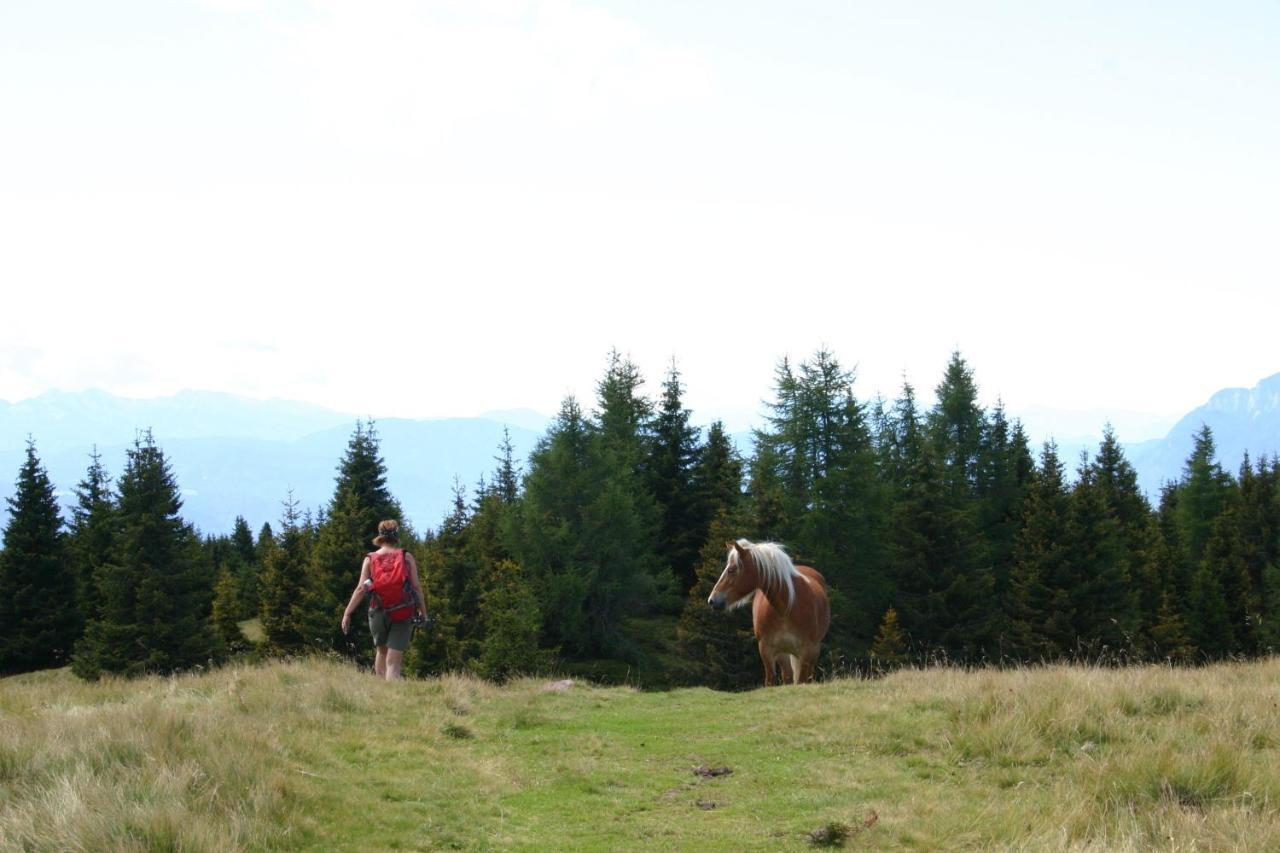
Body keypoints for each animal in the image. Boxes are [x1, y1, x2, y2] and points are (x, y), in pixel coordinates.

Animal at [711, 537, 829, 686]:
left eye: (732, 570)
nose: (712, 600)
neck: (786, 609)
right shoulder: (767, 650)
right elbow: (771, 681)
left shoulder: (806, 651)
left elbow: (802, 680)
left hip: (811, 653)